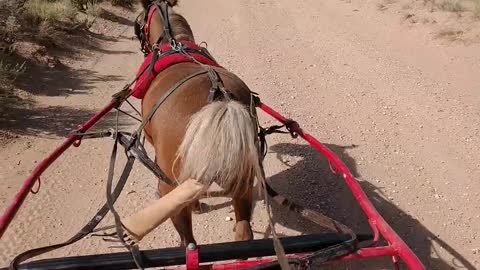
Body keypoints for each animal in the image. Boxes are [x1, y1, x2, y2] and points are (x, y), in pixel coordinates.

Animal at [133, 0, 264, 246]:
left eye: (138, 25)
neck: (175, 44)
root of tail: (221, 99)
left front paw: (195, 205)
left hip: (172, 189)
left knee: (188, 240)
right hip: (243, 182)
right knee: (244, 231)